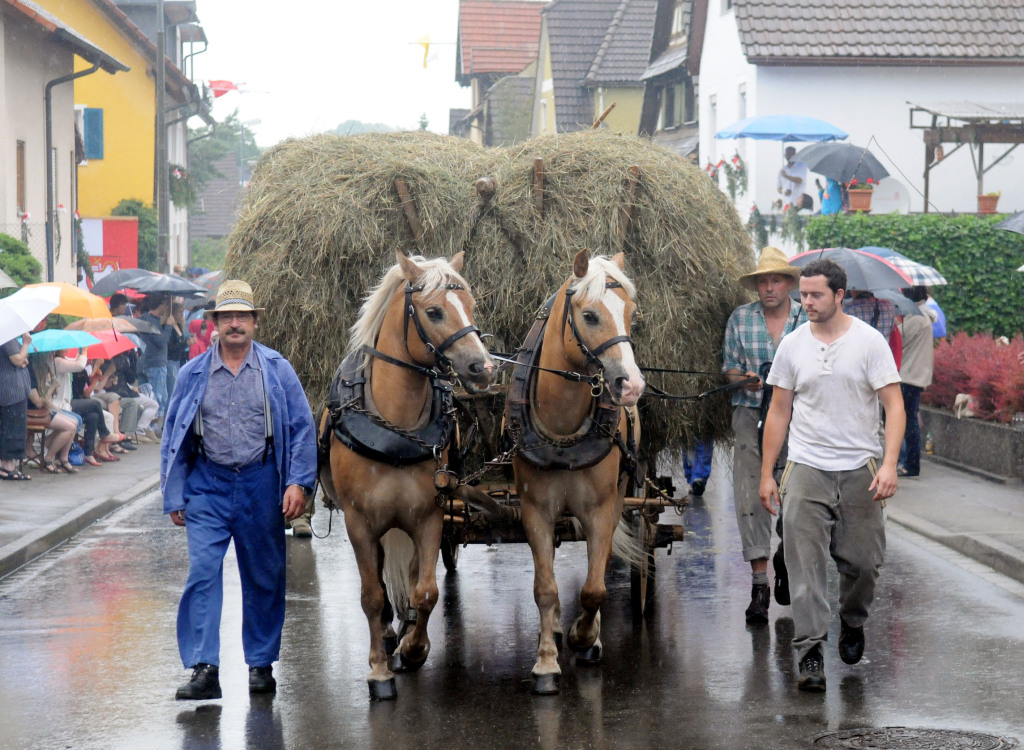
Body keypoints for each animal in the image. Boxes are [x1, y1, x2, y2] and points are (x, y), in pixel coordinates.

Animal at [319, 250, 495, 696]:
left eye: (470, 305)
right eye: (433, 311)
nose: (483, 368)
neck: (395, 428)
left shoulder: (429, 516)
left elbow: (426, 591)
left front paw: (415, 649)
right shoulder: (359, 523)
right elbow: (371, 595)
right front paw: (379, 671)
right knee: (381, 584)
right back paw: (386, 634)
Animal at [507, 248, 643, 692]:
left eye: (630, 313)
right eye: (589, 315)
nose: (632, 385)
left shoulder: (600, 510)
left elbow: (594, 587)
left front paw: (586, 637)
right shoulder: (534, 511)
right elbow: (545, 588)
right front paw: (546, 661)